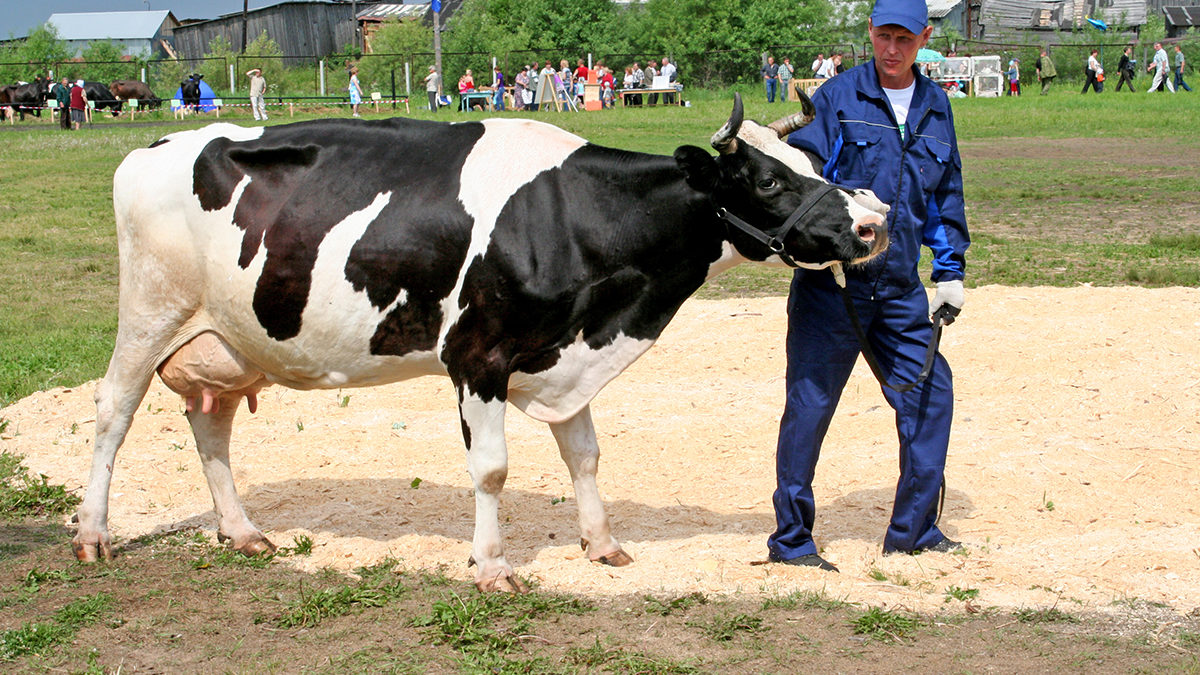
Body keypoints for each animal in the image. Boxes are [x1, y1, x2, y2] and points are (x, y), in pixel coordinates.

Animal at [68, 93, 892, 588]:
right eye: (768, 182)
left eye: (816, 163)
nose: (874, 223)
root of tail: (154, 146)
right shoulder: (478, 357)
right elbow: (492, 471)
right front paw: (493, 565)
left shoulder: (566, 356)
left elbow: (585, 455)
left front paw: (602, 543)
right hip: (150, 312)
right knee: (112, 413)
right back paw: (93, 535)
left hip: (228, 336)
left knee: (209, 425)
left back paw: (240, 532)